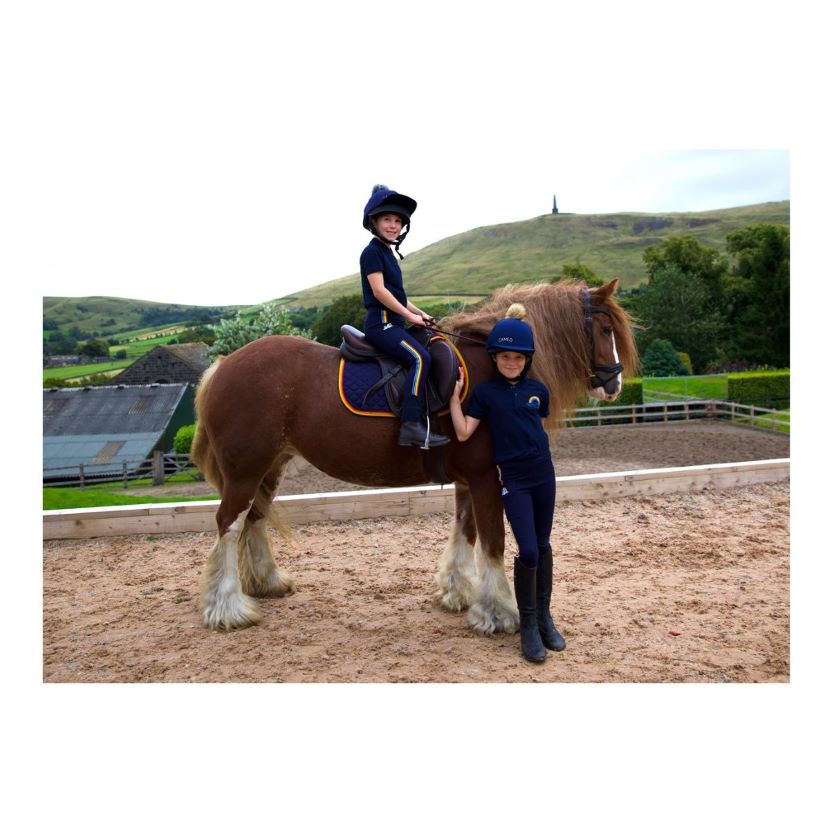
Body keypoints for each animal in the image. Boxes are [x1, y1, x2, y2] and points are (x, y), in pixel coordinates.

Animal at [192, 282, 640, 636]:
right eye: (604, 330)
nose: (615, 384)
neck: (490, 365)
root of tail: (224, 364)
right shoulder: (485, 476)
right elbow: (493, 541)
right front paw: (499, 613)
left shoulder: (469, 478)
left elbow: (466, 532)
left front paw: (457, 592)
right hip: (246, 469)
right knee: (228, 524)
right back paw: (227, 609)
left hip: (271, 465)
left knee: (253, 519)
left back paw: (265, 583)